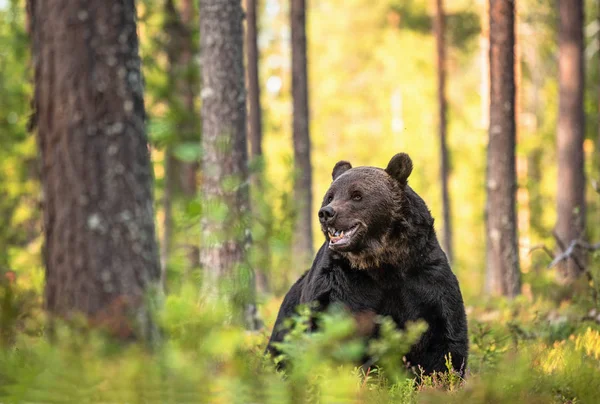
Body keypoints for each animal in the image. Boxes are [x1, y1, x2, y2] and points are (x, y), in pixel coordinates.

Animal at [266, 154, 468, 376]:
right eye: (330, 196)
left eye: (357, 195)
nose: (326, 213)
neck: (382, 261)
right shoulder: (341, 281)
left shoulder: (423, 275)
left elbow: (443, 334)